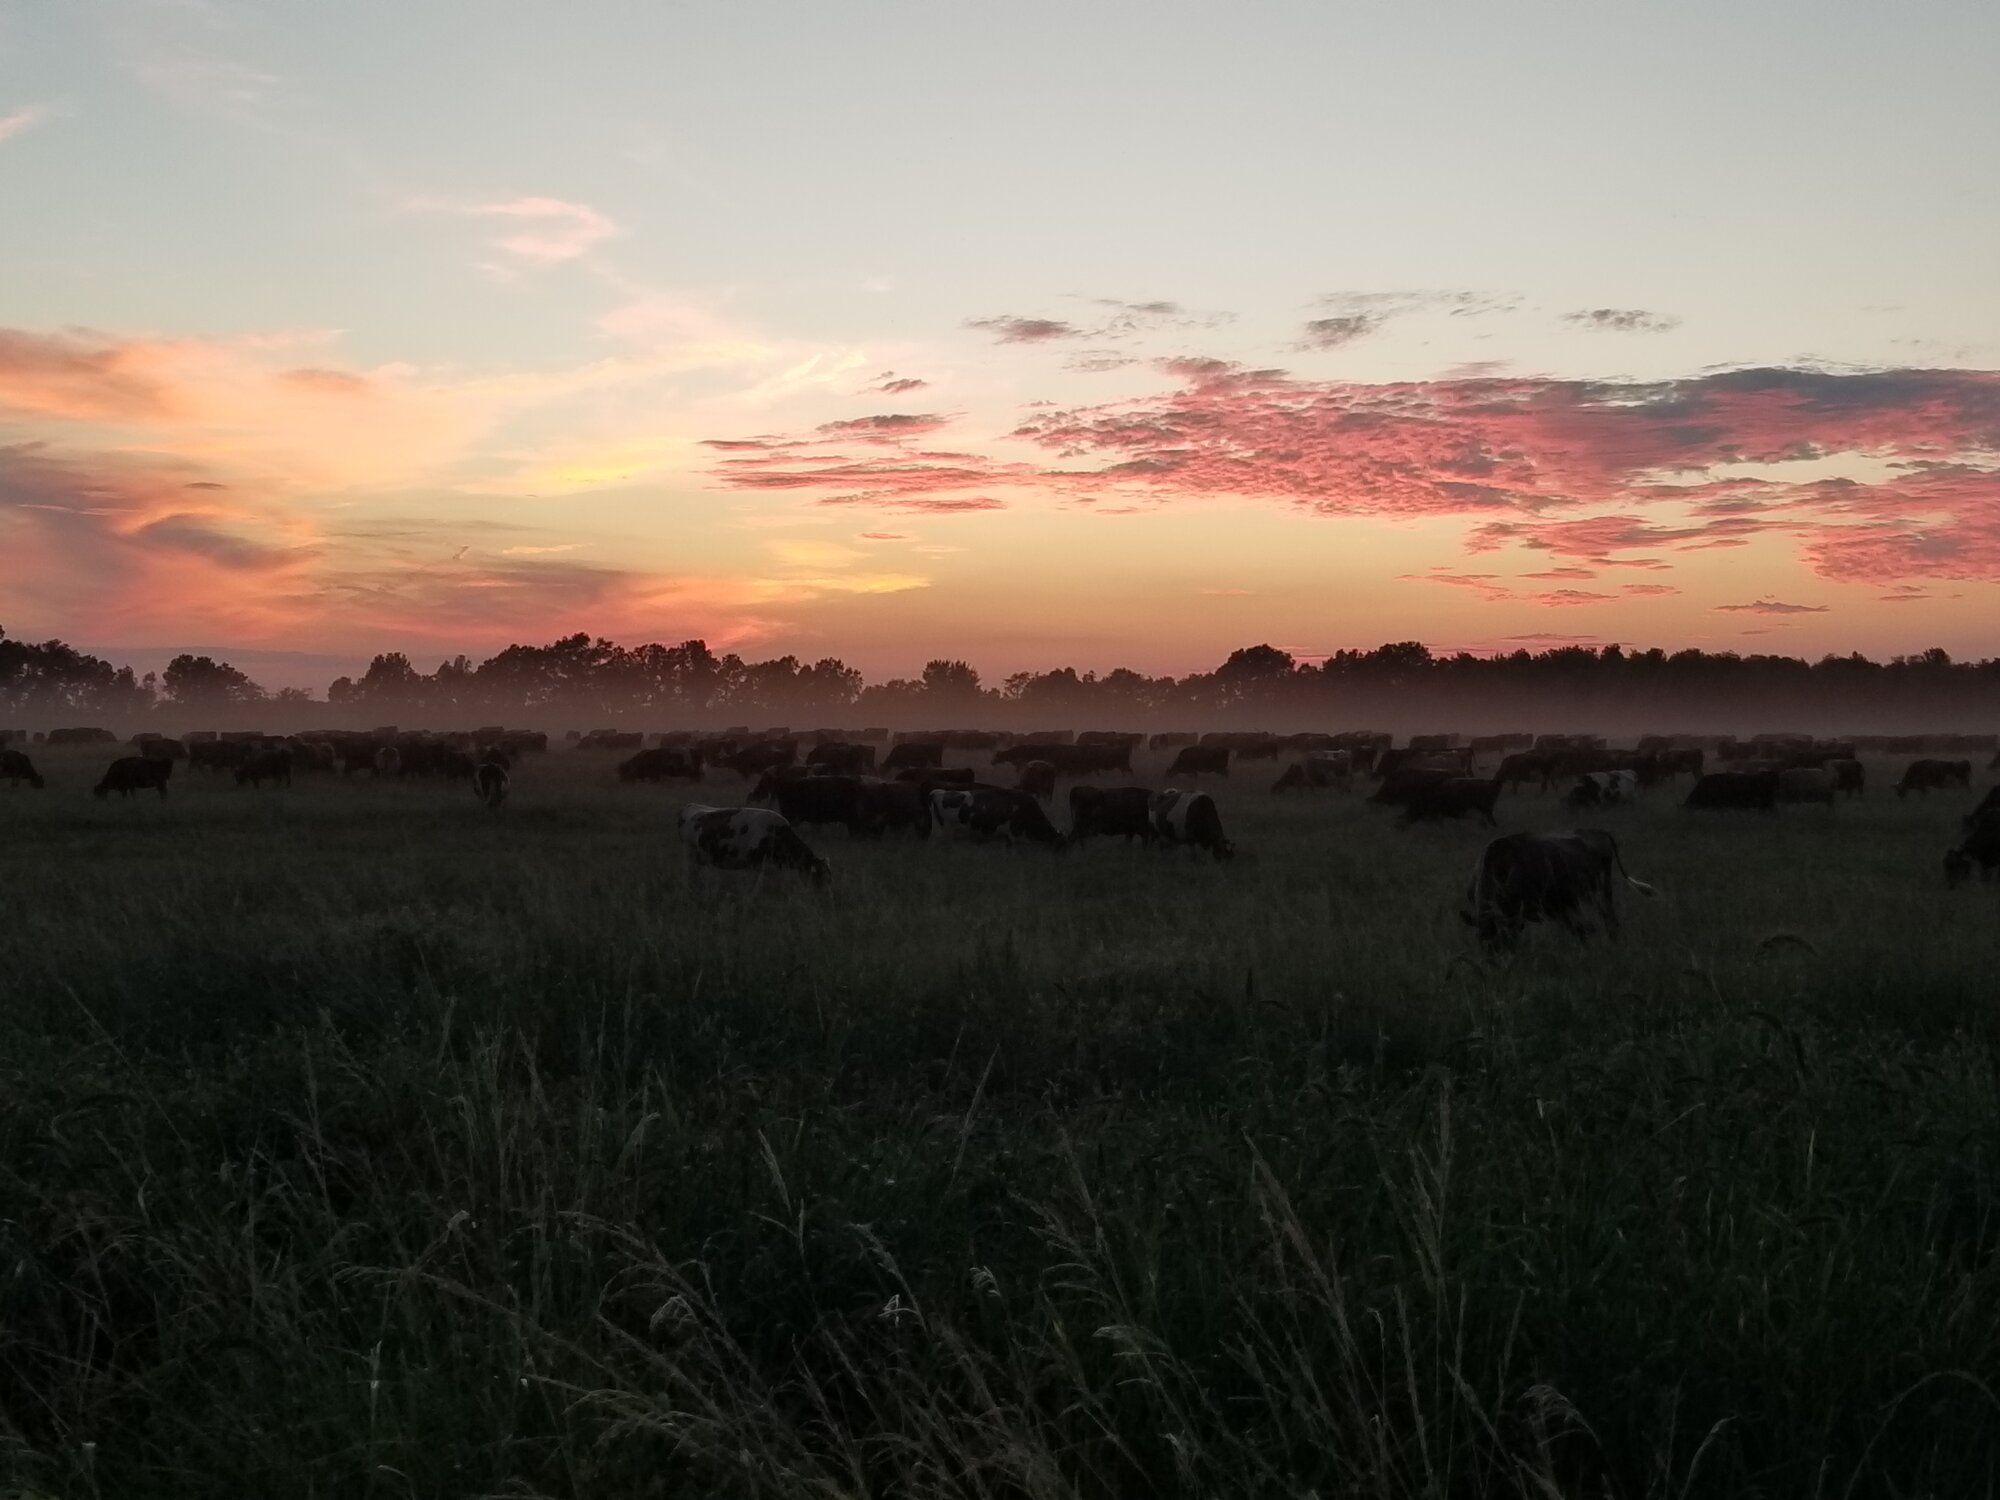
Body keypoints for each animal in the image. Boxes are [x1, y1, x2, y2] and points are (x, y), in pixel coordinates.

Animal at [1461, 829, 1657, 952]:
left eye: (1503, 939)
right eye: (1481, 939)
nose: (1495, 959)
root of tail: (1598, 832)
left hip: (1602, 890)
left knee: (1609, 919)